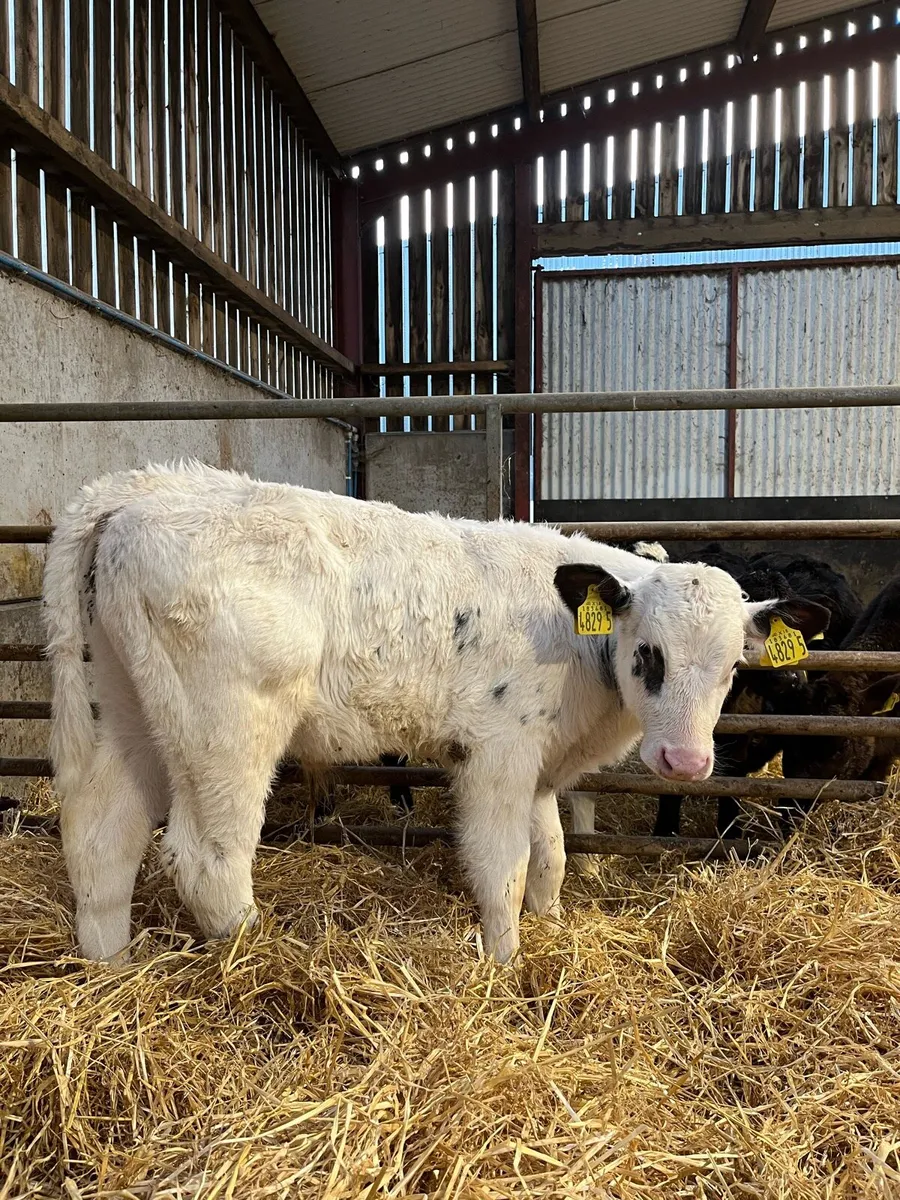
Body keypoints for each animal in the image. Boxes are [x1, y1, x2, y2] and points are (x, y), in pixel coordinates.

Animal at [43, 462, 829, 964]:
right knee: (208, 857)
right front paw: (505, 961)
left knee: (103, 835)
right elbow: (504, 862)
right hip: (227, 728)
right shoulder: (498, 754)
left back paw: (111, 971)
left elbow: (552, 855)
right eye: (648, 653)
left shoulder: (539, 766)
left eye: (733, 667)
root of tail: (145, 489)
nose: (686, 762)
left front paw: (548, 925)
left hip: (127, 706)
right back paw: (255, 964)